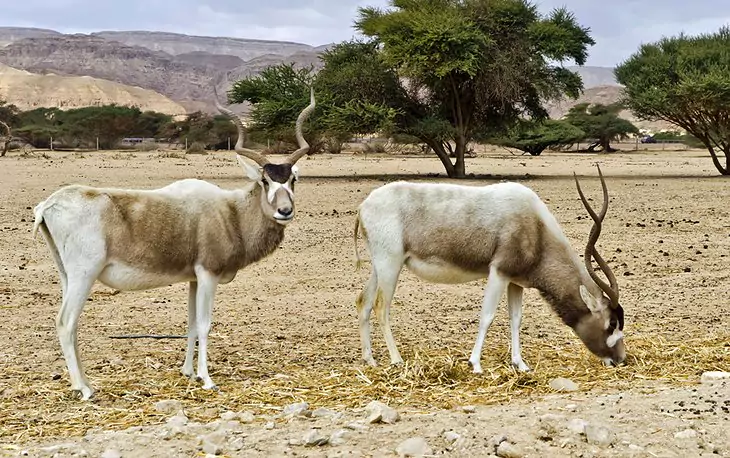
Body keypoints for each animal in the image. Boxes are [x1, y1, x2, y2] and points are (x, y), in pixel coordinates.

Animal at [32, 88, 316, 398]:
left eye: (293, 179)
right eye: (265, 181)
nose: (284, 211)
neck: (230, 211)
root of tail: (48, 205)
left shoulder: (193, 278)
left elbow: (191, 324)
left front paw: (188, 372)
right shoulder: (208, 274)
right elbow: (204, 325)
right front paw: (207, 378)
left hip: (67, 276)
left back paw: (78, 383)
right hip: (84, 275)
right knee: (65, 322)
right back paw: (85, 389)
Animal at [350, 166, 624, 374]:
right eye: (611, 323)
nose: (621, 359)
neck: (535, 226)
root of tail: (364, 206)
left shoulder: (515, 281)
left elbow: (516, 319)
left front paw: (520, 364)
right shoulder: (498, 272)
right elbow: (487, 316)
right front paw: (475, 364)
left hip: (380, 266)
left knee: (364, 301)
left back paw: (370, 359)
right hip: (390, 264)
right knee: (381, 307)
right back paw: (396, 359)